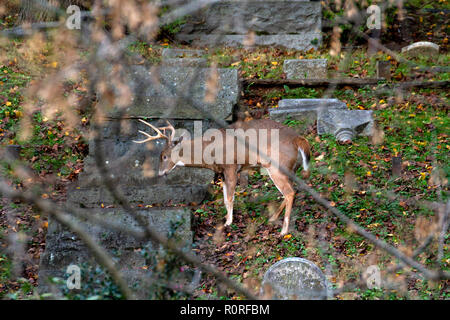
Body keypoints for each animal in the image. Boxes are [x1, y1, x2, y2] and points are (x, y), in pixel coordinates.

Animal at [132, 117, 312, 235]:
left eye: (164, 156)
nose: (160, 173)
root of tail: (299, 139)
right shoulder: (222, 172)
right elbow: (225, 198)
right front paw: (226, 219)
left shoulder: (231, 167)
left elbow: (230, 197)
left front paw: (228, 222)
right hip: (289, 168)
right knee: (293, 190)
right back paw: (273, 218)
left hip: (277, 166)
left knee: (289, 192)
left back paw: (283, 230)